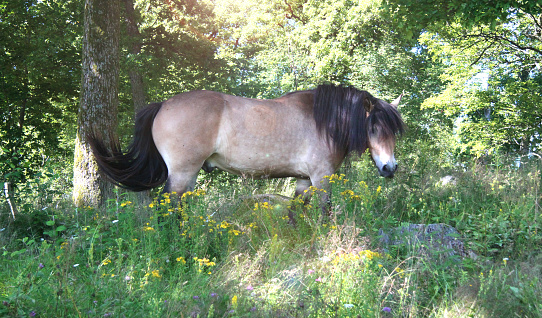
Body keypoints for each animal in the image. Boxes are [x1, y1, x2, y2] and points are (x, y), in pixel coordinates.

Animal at [89, 84, 404, 211]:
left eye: (394, 132)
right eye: (374, 128)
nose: (390, 168)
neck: (323, 121)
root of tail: (163, 104)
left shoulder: (304, 180)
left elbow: (297, 212)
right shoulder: (321, 178)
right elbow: (324, 211)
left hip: (188, 175)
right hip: (181, 173)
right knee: (169, 207)